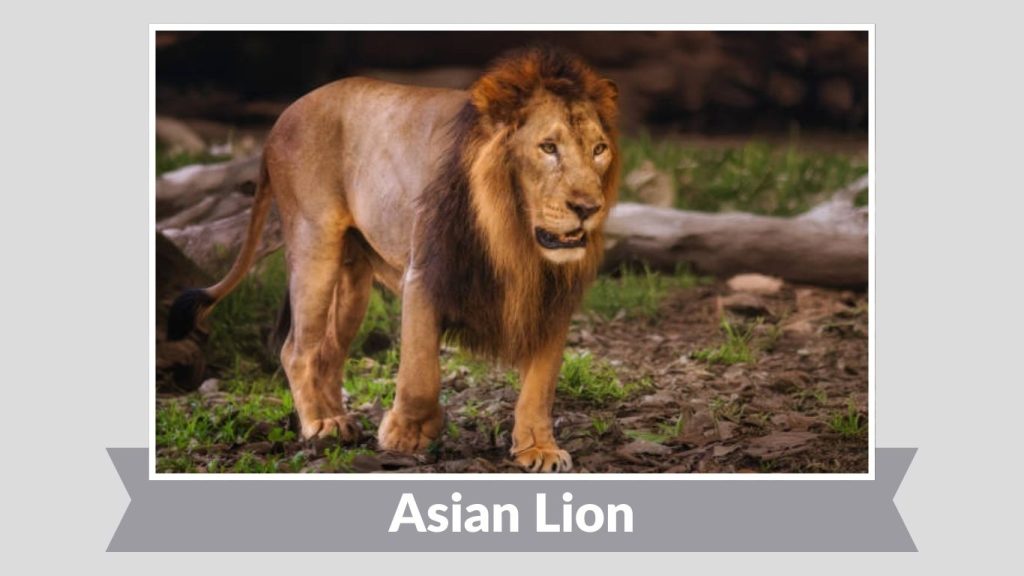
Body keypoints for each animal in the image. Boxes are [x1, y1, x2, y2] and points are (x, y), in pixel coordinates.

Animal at [167, 46, 619, 472]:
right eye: (548, 147)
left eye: (599, 149)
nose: (588, 208)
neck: (514, 236)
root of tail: (284, 115)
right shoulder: (425, 274)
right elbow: (420, 373)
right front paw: (408, 435)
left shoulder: (553, 298)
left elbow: (540, 384)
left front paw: (539, 448)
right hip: (314, 243)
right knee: (296, 348)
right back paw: (320, 425)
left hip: (353, 281)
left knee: (327, 353)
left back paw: (338, 420)